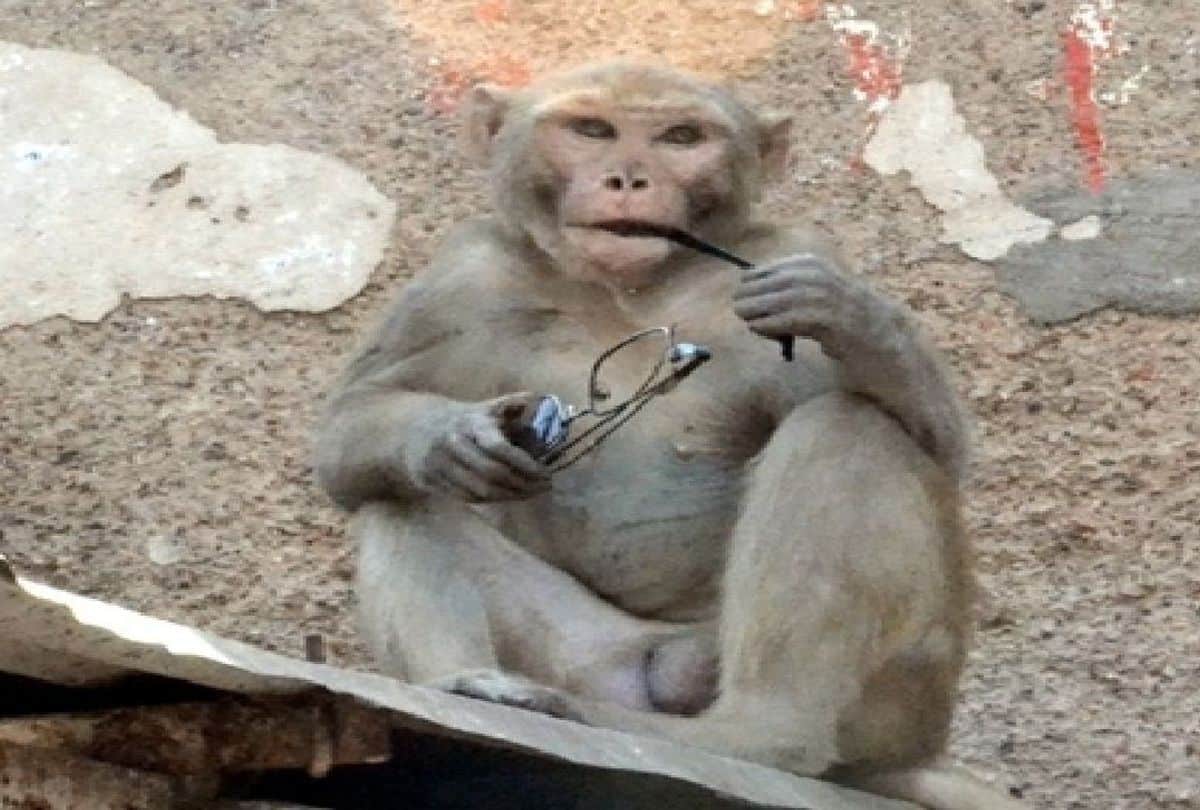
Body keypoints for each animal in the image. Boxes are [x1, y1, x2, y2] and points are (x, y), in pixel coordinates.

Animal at [315, 62, 1025, 810]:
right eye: (591, 129)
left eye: (680, 137)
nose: (628, 177)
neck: (632, 291)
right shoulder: (463, 278)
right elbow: (353, 425)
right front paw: (451, 438)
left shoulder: (793, 248)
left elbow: (939, 446)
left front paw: (851, 314)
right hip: (595, 662)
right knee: (397, 500)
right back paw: (475, 686)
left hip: (903, 704)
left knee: (849, 428)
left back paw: (762, 733)